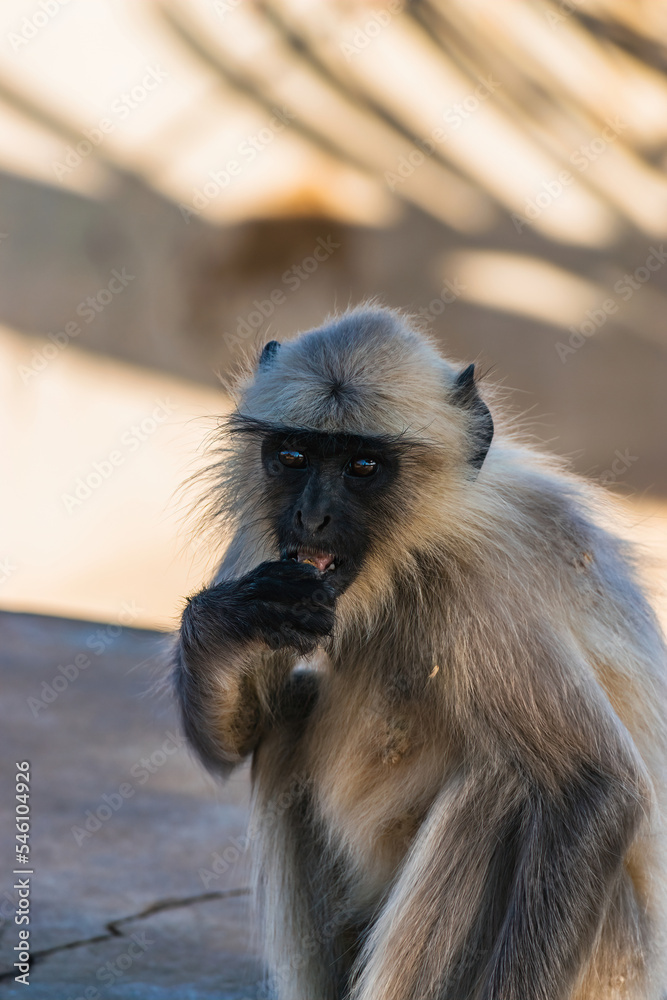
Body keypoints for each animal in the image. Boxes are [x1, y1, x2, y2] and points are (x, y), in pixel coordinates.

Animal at [173, 305, 667, 1000]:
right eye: (293, 457)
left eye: (363, 467)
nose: (312, 518)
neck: (416, 545)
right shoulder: (267, 542)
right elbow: (238, 740)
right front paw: (228, 620)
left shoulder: (480, 579)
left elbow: (595, 786)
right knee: (293, 714)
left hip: (609, 960)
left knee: (501, 782)